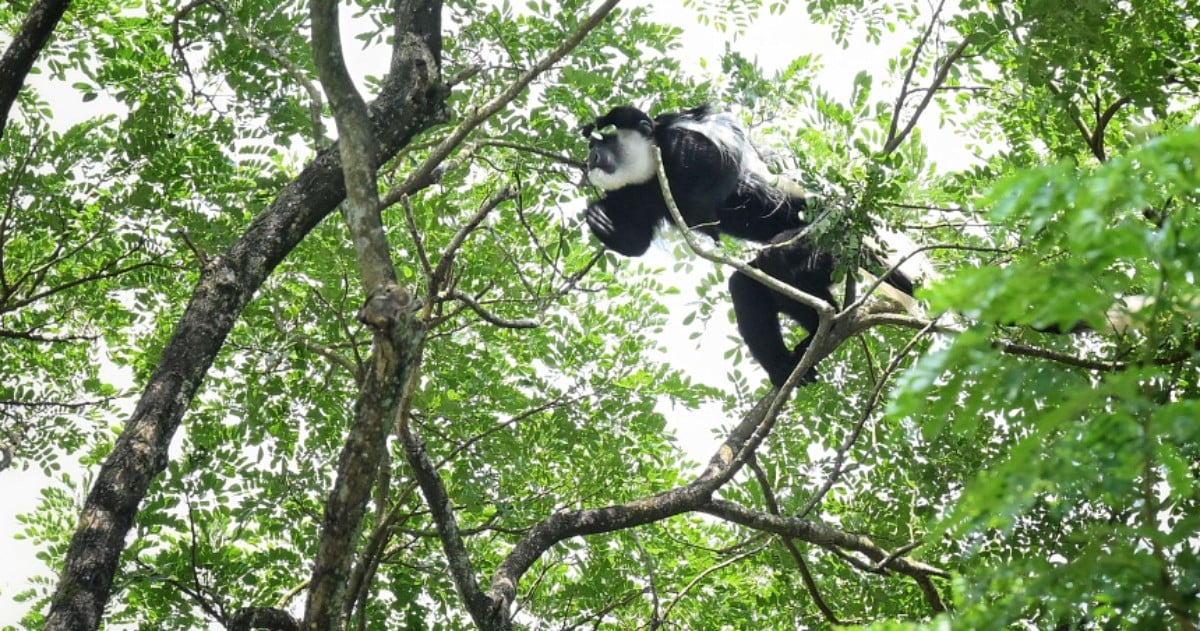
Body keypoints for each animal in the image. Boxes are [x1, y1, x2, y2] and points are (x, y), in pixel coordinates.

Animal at [580, 104, 926, 386]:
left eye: (604, 141)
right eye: (592, 147)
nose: (590, 156)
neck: (652, 170)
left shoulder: (682, 146)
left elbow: (714, 169)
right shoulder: (643, 192)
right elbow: (637, 241)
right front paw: (599, 218)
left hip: (828, 236)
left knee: (777, 261)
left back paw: (823, 327)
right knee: (748, 285)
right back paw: (790, 363)